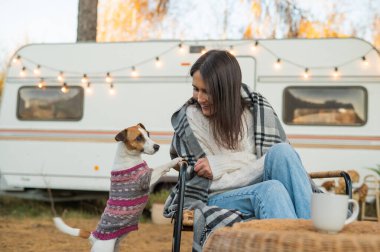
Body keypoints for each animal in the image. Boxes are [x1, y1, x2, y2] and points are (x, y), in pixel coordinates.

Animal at [53, 124, 183, 252]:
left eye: (148, 134)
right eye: (139, 138)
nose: (157, 146)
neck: (129, 156)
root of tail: (93, 237)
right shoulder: (146, 179)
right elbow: (162, 167)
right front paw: (176, 160)